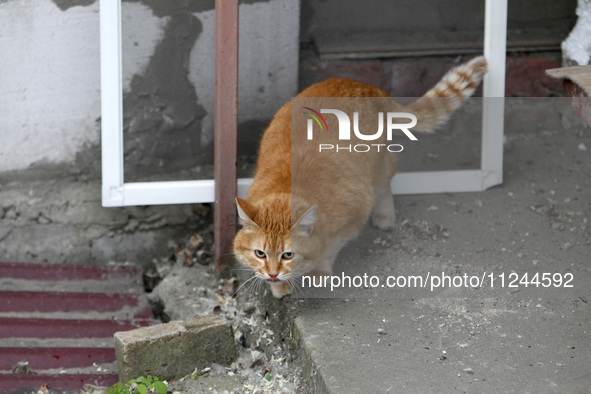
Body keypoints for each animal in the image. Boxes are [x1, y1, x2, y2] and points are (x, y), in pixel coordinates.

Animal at [234, 54, 488, 296]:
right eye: (260, 253)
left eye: (288, 255)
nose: (273, 274)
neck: (287, 185)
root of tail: (364, 84)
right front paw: (278, 287)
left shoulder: (353, 218)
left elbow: (329, 251)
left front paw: (318, 272)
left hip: (379, 165)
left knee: (386, 184)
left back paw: (385, 216)